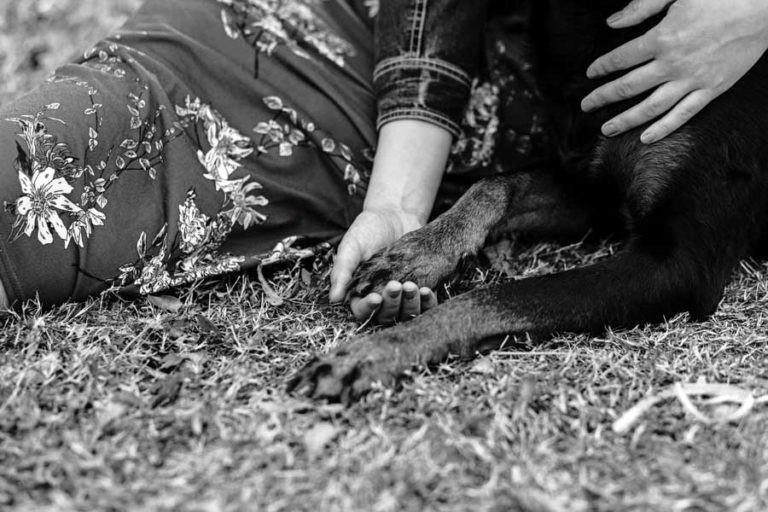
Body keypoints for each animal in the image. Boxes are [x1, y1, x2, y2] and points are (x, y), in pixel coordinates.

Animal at [284, 0, 768, 402]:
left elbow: (498, 296)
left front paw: (369, 355)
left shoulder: (679, 262)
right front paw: (418, 252)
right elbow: (496, 185)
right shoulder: (595, 193)